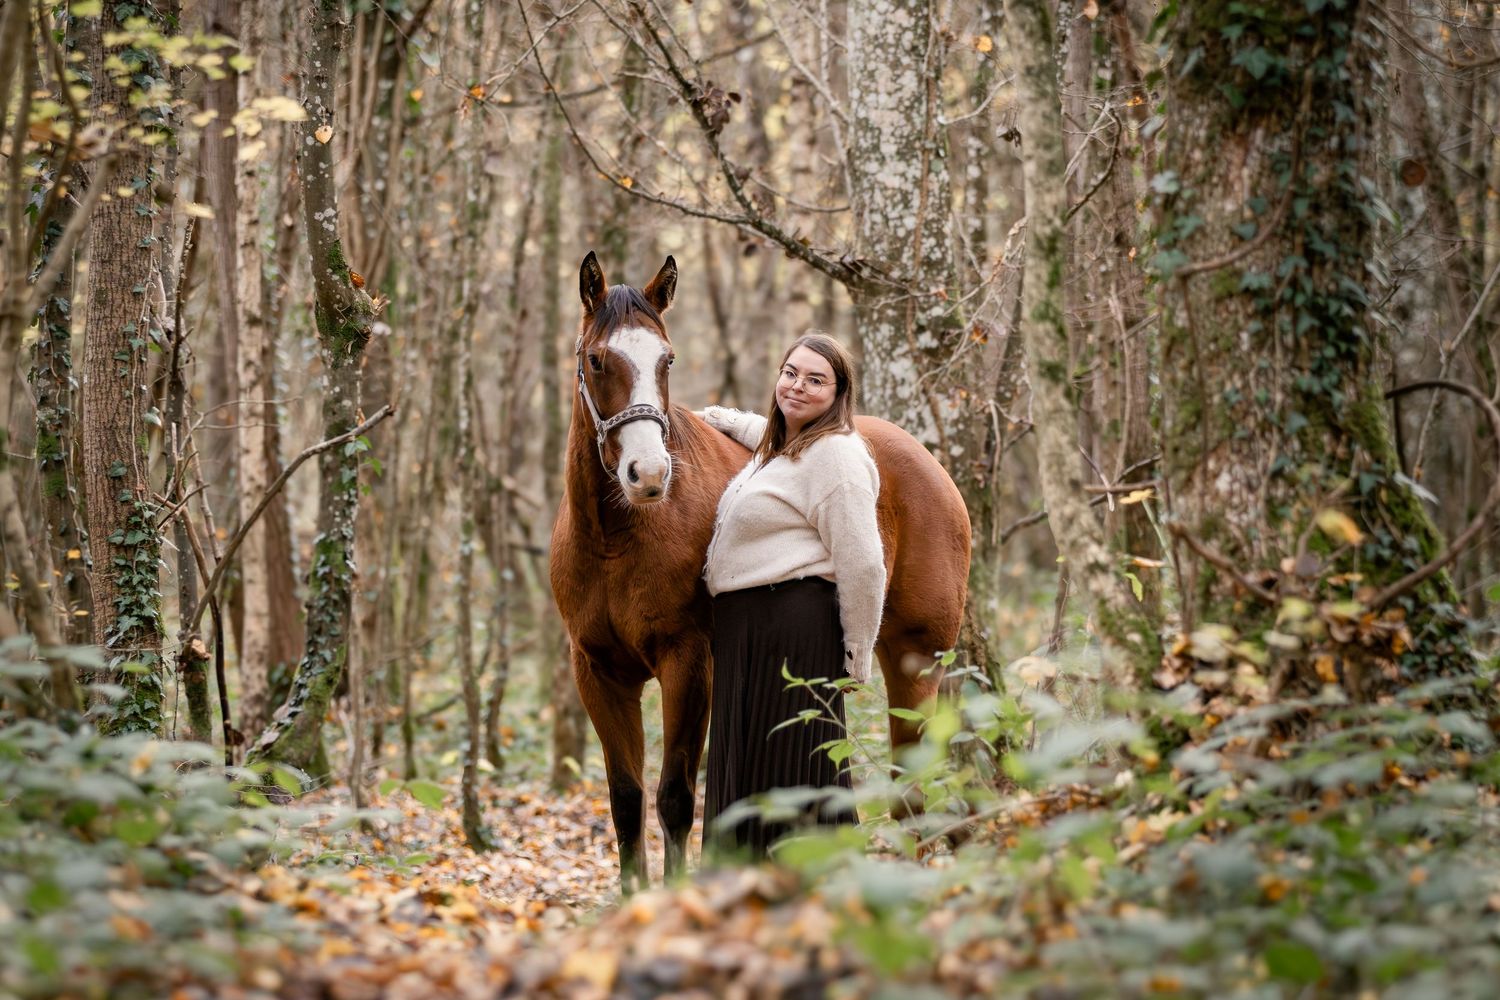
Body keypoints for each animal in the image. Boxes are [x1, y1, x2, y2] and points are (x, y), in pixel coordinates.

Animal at [549, 251, 971, 892]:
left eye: (667, 358)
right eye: (597, 359)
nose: (648, 474)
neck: (614, 540)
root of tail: (929, 464)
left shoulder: (688, 662)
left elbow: (675, 798)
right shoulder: (597, 672)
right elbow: (626, 799)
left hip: (915, 660)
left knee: (912, 788)